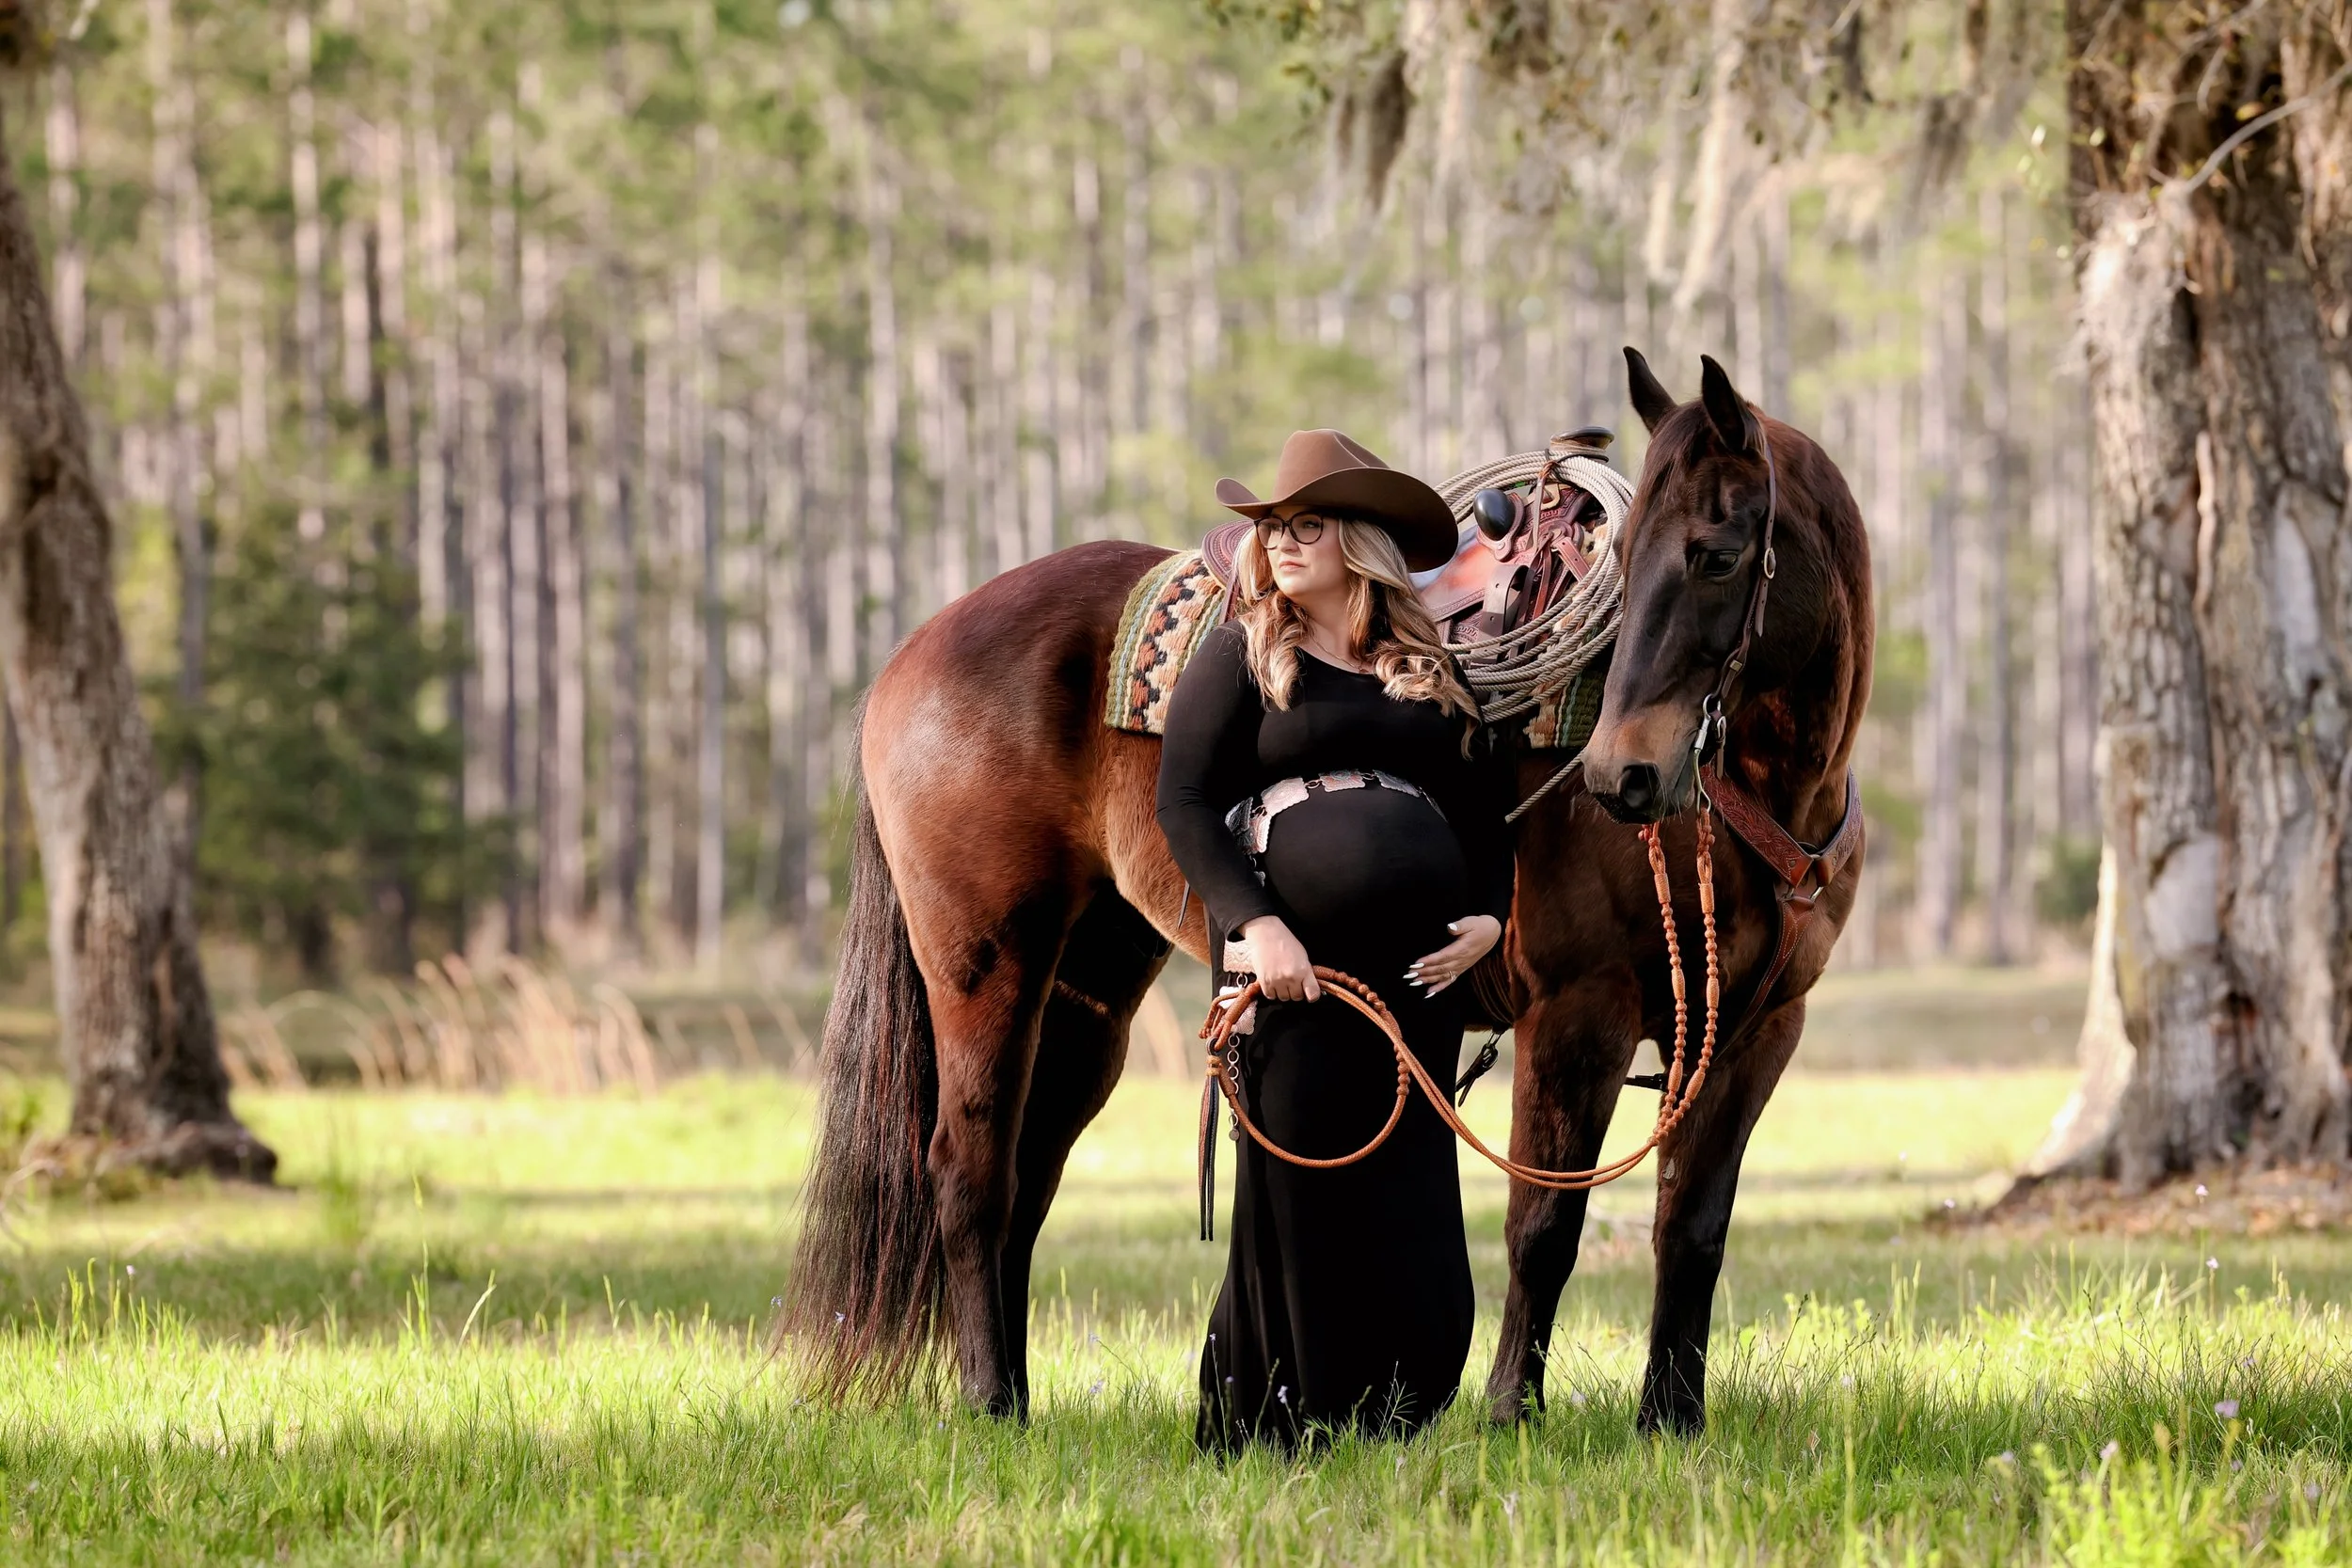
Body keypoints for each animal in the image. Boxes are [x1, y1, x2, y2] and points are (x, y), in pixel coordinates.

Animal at [783, 347, 1872, 1436]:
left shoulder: (1758, 1029)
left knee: (1029, 1170)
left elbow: (1691, 1228)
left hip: (1087, 987)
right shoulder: (1579, 1014)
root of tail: (913, 651)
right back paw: (987, 1403)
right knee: (968, 1169)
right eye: (1632, 548)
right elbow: (1544, 1222)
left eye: (1715, 555)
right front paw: (1508, 1415)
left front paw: (1671, 1422)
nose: (1621, 777)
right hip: (985, 964)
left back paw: (1013, 1390)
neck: (1753, 798)